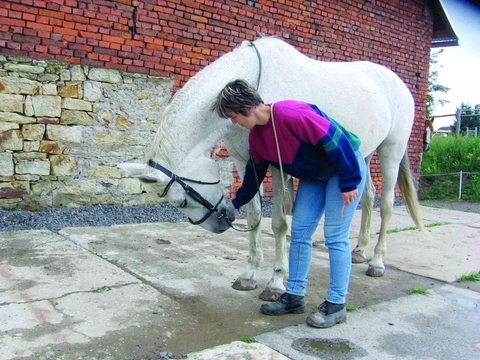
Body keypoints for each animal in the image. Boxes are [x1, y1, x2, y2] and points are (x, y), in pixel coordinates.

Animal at [119, 37, 424, 300]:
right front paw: (250, 275)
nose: (222, 222)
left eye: (182, 201)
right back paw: (359, 250)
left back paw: (377, 262)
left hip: (391, 151)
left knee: (386, 205)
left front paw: (277, 282)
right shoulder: (244, 162)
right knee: (369, 197)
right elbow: (255, 216)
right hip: (365, 154)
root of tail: (397, 82)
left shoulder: (278, 168)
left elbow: (279, 222)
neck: (257, 83)